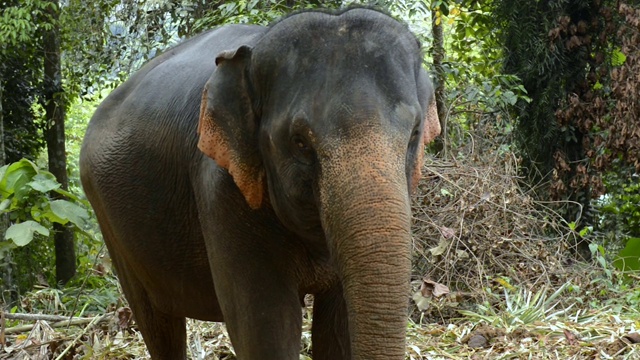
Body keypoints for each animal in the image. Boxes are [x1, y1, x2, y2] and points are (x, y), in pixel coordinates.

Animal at [79, 6, 440, 360]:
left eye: (414, 133)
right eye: (299, 142)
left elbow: (339, 332)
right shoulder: (221, 190)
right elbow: (266, 332)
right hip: (108, 218)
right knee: (156, 321)